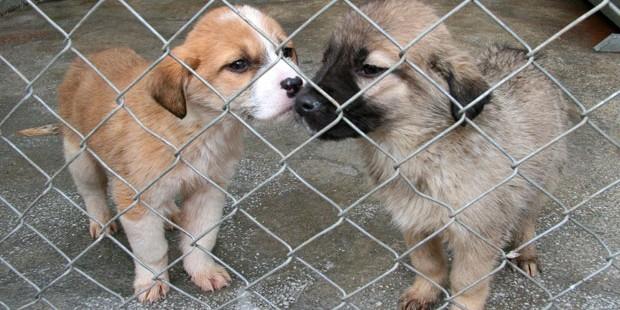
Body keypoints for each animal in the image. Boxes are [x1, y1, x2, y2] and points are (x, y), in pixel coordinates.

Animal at [56, 5, 302, 302]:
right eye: (239, 64)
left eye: (286, 51)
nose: (296, 83)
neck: (197, 128)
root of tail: (91, 57)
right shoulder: (135, 198)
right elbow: (151, 250)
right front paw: (151, 281)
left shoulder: (208, 190)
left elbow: (202, 240)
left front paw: (203, 271)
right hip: (78, 154)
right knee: (92, 192)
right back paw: (100, 221)